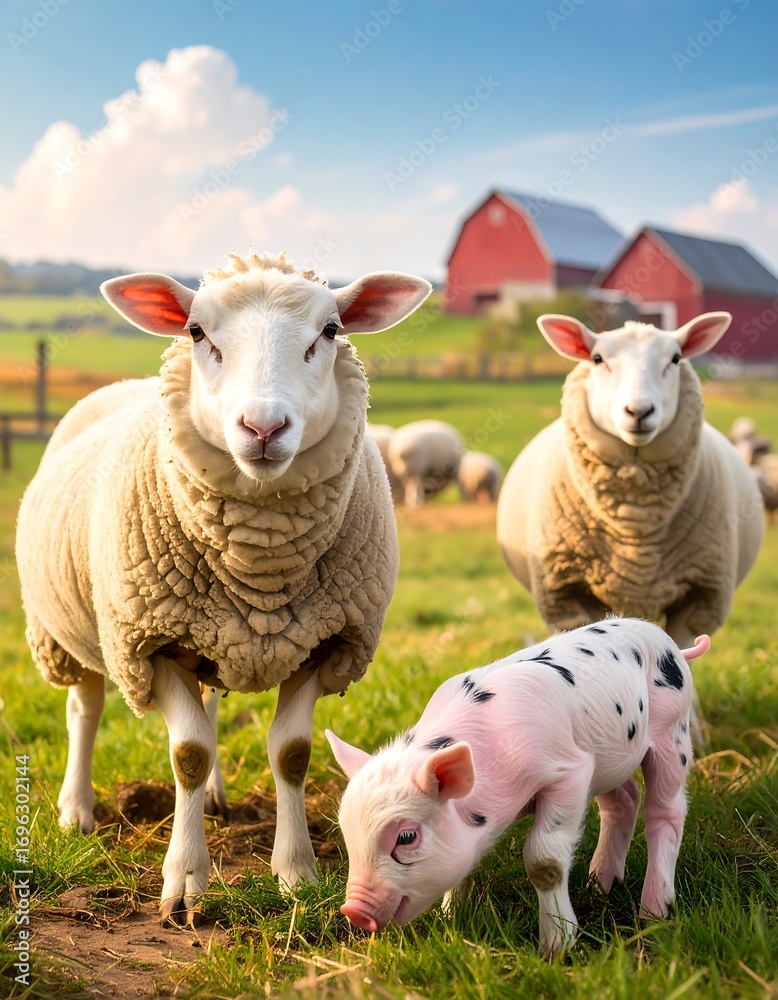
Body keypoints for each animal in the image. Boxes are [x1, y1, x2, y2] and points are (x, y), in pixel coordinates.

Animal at [16, 251, 431, 926]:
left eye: (331, 331)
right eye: (195, 332)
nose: (263, 427)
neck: (259, 567)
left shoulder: (325, 642)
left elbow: (291, 753)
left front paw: (297, 875)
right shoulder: (149, 644)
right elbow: (188, 753)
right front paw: (185, 884)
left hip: (209, 637)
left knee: (209, 704)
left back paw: (211, 800)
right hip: (73, 630)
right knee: (85, 709)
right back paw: (76, 810)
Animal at [326, 618, 710, 958]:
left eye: (406, 837)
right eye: (347, 834)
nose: (353, 910)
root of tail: (670, 644)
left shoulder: (570, 771)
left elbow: (544, 858)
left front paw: (555, 950)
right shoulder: (585, 766)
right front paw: (450, 918)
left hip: (672, 732)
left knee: (666, 810)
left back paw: (653, 915)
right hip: (608, 759)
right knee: (624, 799)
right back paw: (599, 885)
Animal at [497, 312, 764, 658]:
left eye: (675, 358)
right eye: (597, 359)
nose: (639, 411)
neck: (636, 524)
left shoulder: (700, 599)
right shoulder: (565, 596)